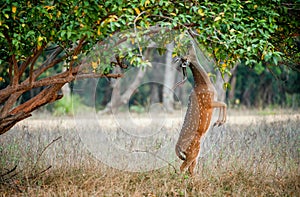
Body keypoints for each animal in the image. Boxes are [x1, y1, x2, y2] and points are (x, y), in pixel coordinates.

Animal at [175, 45, 226, 175]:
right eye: (187, 55)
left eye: (188, 51)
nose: (190, 44)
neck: (205, 84)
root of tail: (177, 149)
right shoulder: (208, 101)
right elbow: (224, 104)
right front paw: (219, 122)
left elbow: (223, 104)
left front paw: (219, 122)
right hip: (194, 150)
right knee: (183, 168)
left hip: (194, 152)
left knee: (190, 169)